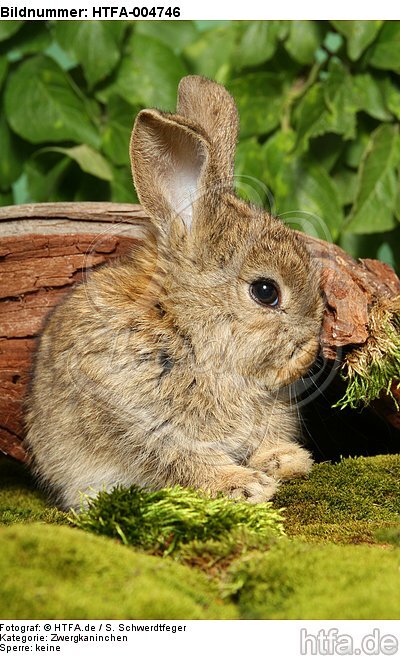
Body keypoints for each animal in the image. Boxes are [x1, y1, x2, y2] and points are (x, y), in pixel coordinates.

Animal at [23, 74, 324, 510]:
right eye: (266, 291)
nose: (312, 349)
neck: (184, 324)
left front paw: (286, 461)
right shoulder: (144, 421)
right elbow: (183, 460)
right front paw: (245, 486)